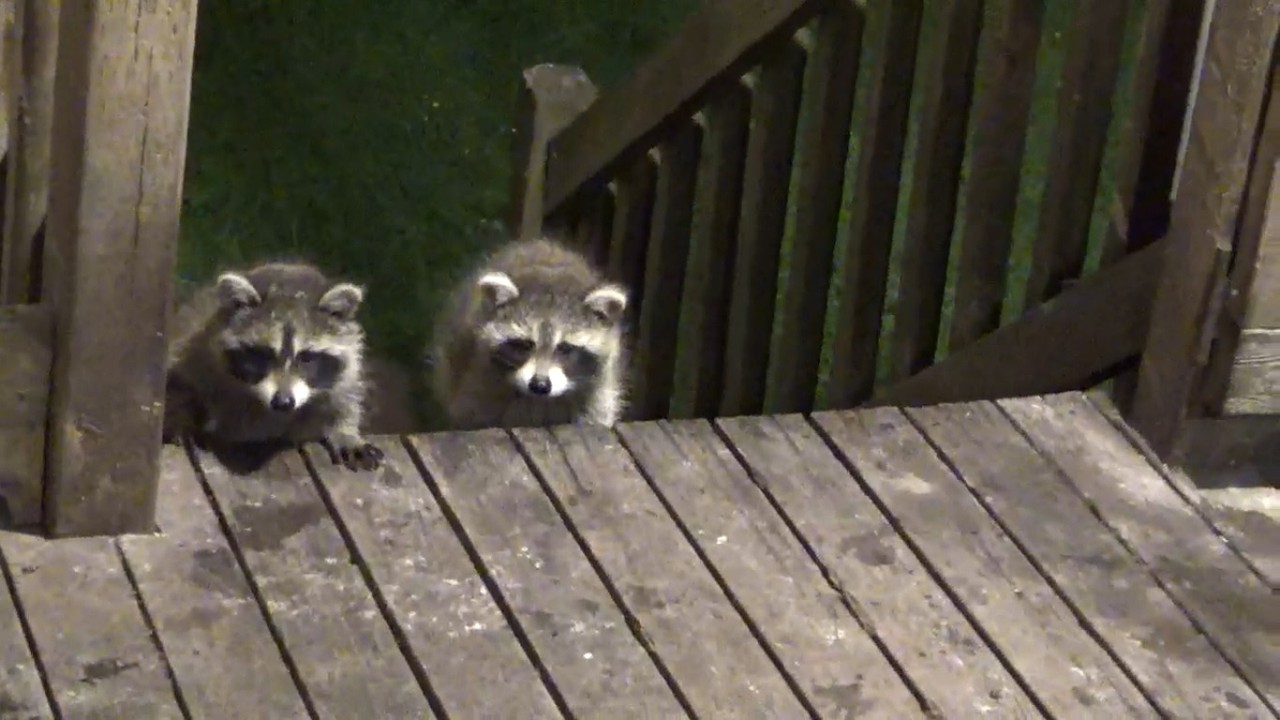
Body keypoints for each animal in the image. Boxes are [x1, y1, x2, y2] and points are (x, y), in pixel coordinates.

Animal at [164, 261, 383, 471]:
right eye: (264, 355)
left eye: (305, 358)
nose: (283, 402)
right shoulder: (199, 351)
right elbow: (180, 382)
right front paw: (178, 417)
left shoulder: (347, 367)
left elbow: (345, 397)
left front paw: (346, 432)